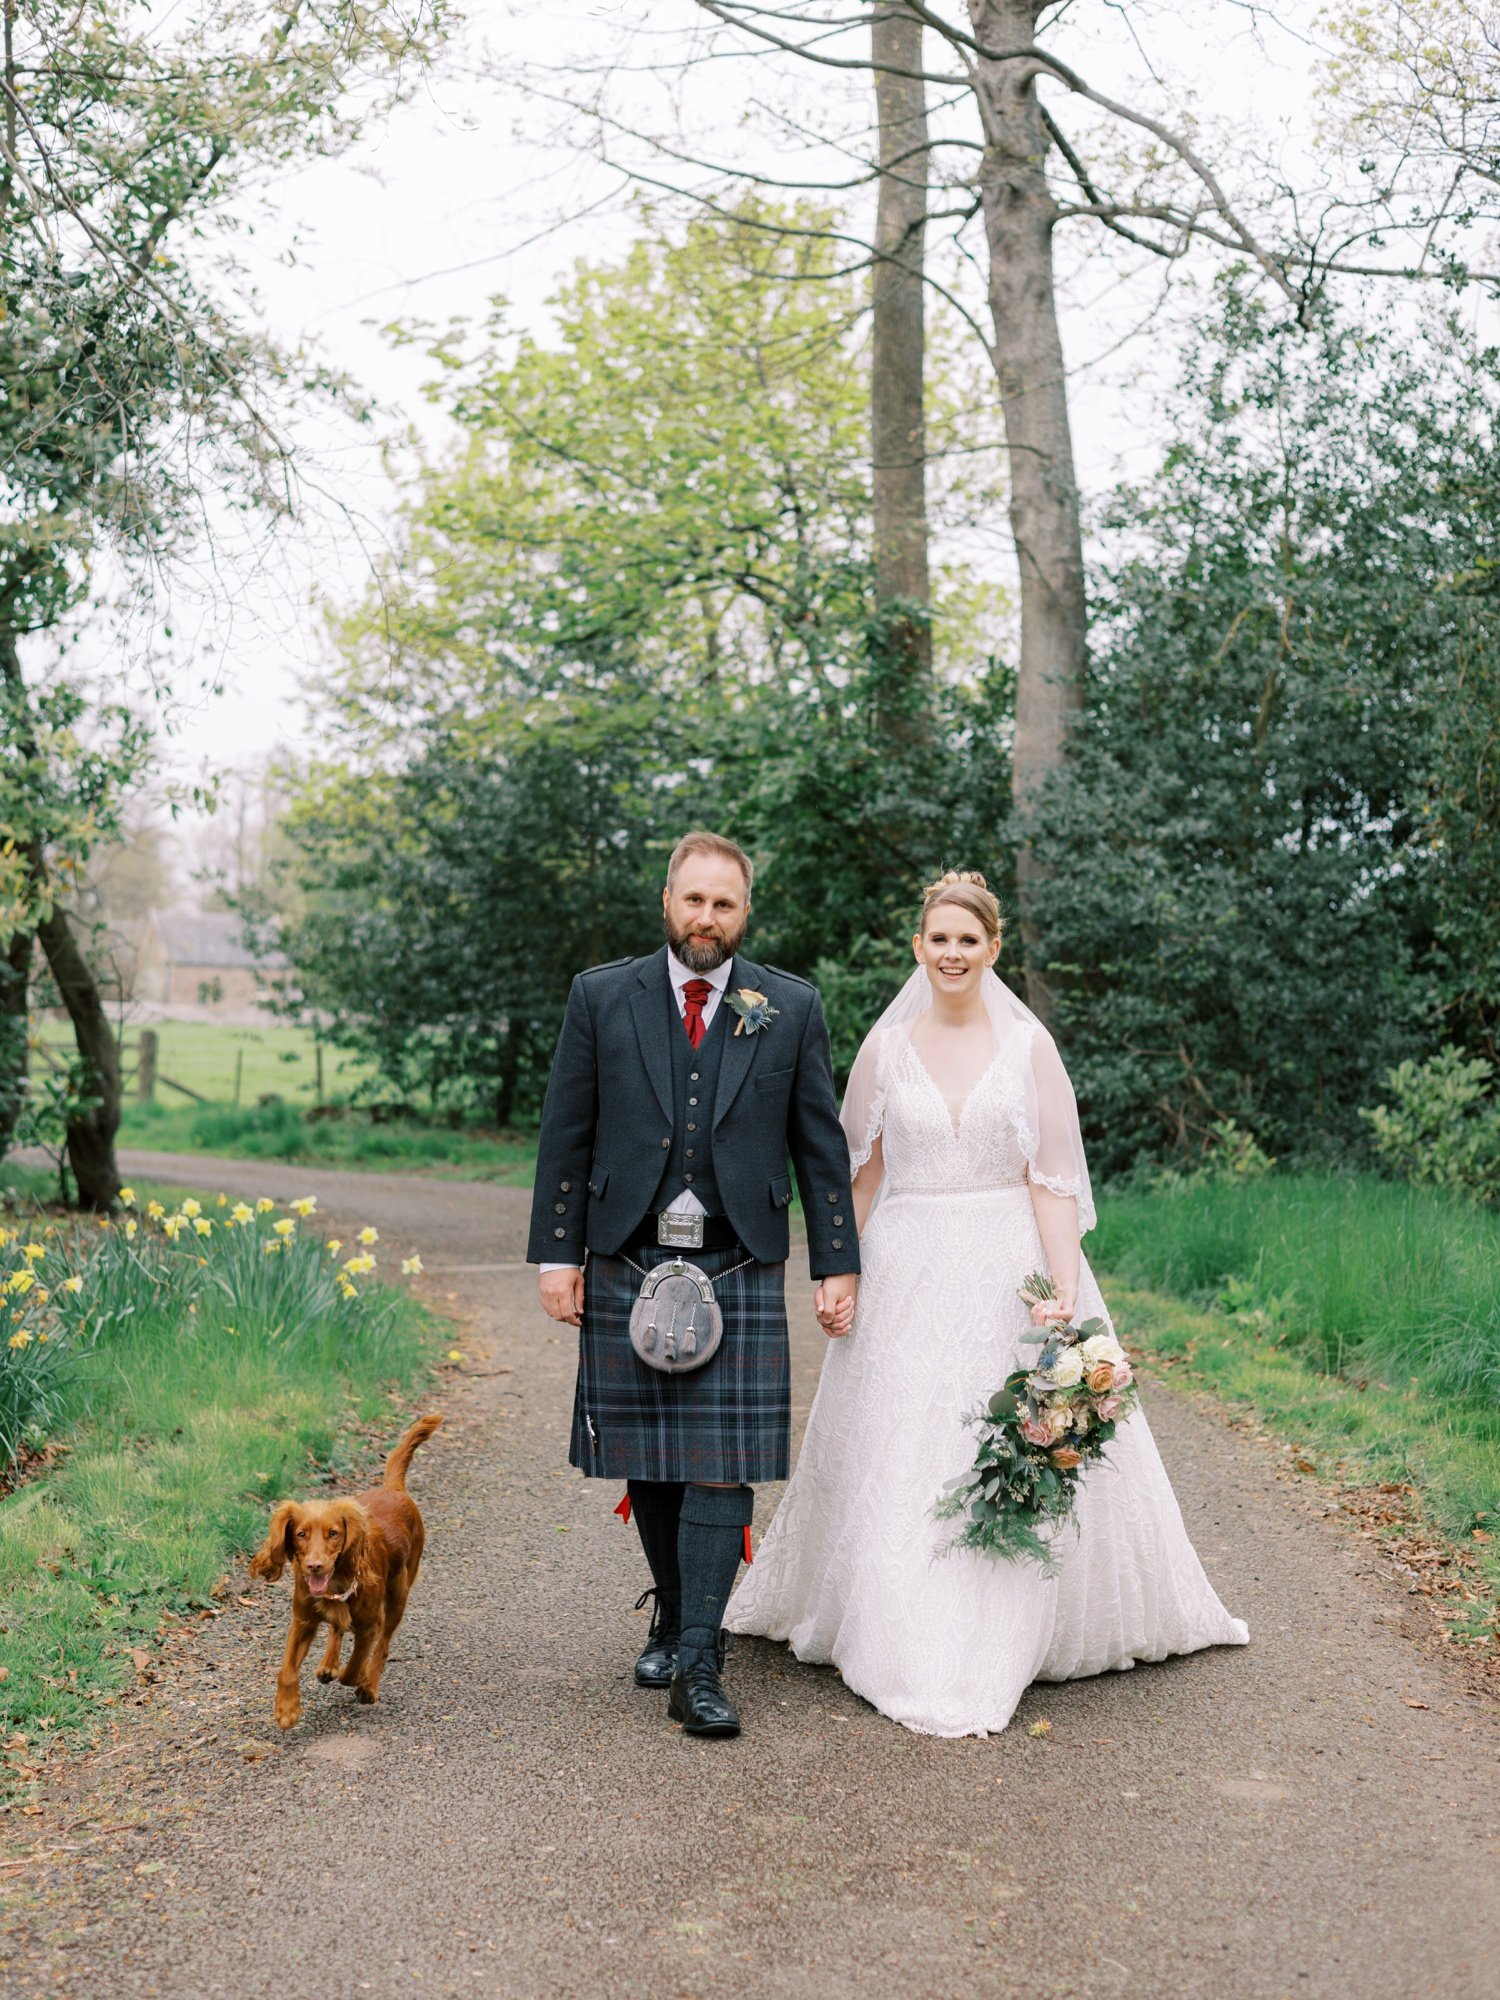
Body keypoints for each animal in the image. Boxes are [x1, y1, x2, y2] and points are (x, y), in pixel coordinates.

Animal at [247, 1416, 444, 1728]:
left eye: (334, 1533)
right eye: (301, 1534)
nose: (315, 1566)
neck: (336, 1585)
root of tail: (395, 1488)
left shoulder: (369, 1626)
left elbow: (354, 1668)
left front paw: (360, 1678)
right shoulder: (302, 1621)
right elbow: (287, 1669)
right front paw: (286, 1709)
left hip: (399, 1594)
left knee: (383, 1645)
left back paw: (369, 1685)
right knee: (337, 1630)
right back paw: (329, 1665)